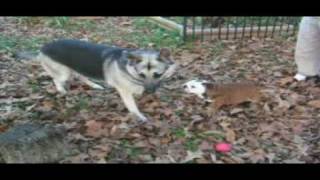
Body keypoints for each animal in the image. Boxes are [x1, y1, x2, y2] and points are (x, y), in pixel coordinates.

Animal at [34, 39, 178, 122]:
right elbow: (132, 106)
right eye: (141, 75)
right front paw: (139, 116)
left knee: (80, 75)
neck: (129, 68)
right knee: (56, 79)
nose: (149, 92)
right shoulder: (124, 91)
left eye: (158, 75)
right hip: (64, 73)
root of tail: (43, 47)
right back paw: (61, 90)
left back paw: (94, 85)